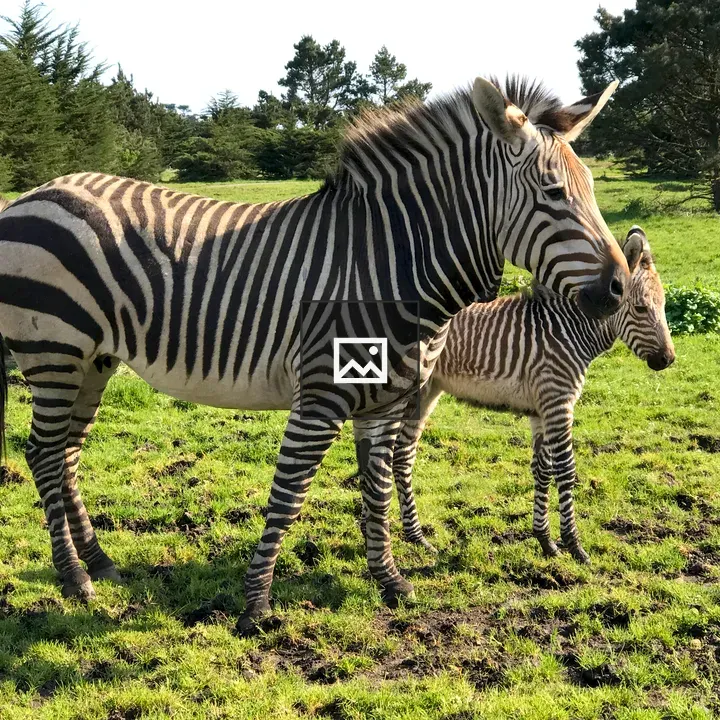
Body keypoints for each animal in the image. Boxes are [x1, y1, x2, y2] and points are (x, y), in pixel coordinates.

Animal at [0, 75, 628, 633]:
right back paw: (75, 580)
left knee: (67, 452)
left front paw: (390, 582)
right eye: (553, 194)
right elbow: (290, 494)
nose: (621, 288)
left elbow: (376, 490)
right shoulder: (322, 394)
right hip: (54, 351)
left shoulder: (385, 399)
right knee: (43, 453)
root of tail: (34, 195)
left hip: (93, 359)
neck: (390, 265)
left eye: (594, 190)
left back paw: (100, 562)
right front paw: (255, 606)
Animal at [382, 226, 674, 561]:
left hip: (427, 391)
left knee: (402, 455)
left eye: (664, 305)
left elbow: (542, 470)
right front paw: (574, 545)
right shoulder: (559, 402)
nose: (668, 360)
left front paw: (545, 540)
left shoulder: (540, 409)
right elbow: (565, 469)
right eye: (640, 308)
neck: (569, 330)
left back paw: (415, 537)